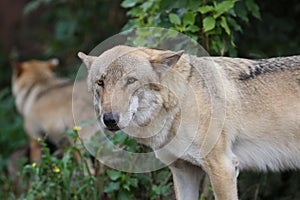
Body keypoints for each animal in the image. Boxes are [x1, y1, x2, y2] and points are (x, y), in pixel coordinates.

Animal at [78, 45, 300, 200]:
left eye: (131, 81)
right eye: (100, 82)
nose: (109, 119)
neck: (180, 104)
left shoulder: (223, 167)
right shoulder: (184, 171)